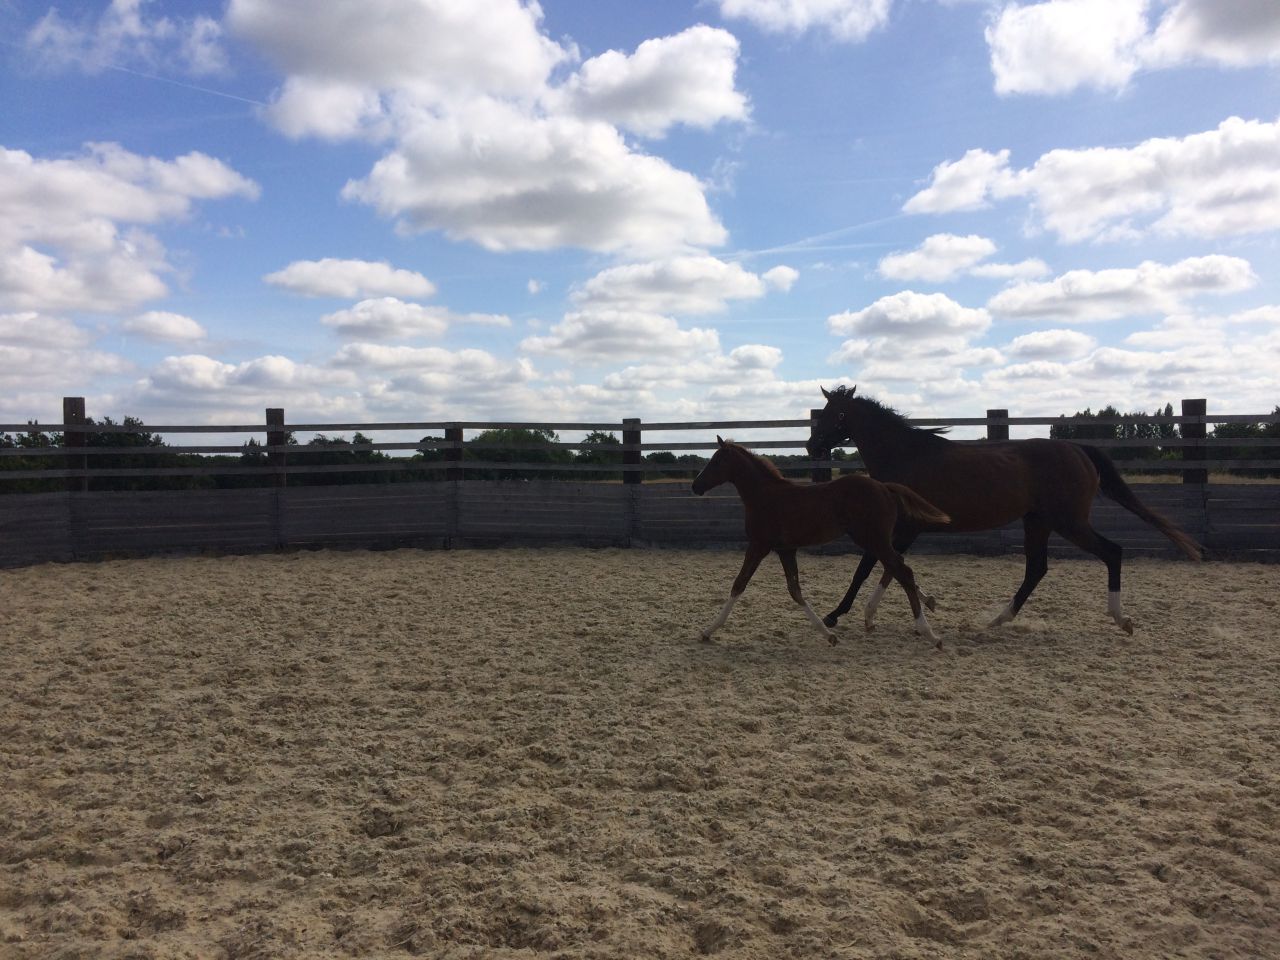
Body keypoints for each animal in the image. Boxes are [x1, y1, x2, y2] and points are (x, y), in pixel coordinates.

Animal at [691, 437, 951, 646]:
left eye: (716, 461)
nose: (695, 486)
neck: (765, 496)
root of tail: (884, 487)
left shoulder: (758, 546)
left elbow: (739, 584)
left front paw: (707, 631)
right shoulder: (785, 549)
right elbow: (795, 590)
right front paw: (828, 635)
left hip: (873, 538)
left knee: (902, 570)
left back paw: (929, 633)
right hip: (875, 540)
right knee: (897, 567)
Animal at [806, 386, 1204, 634]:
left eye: (835, 413)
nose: (811, 445)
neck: (906, 455)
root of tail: (1078, 449)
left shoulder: (901, 528)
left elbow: (870, 568)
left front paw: (837, 615)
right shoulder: (900, 530)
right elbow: (889, 569)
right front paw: (873, 616)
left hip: (1068, 522)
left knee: (1112, 552)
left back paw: (1121, 619)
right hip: (1039, 522)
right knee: (1037, 569)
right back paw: (998, 619)